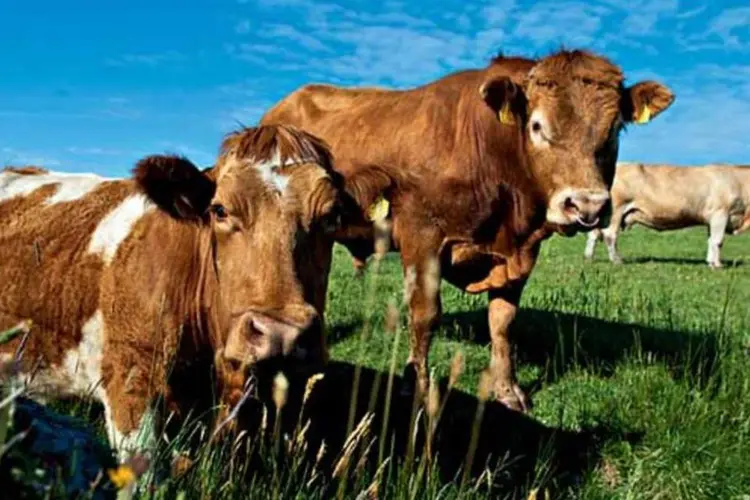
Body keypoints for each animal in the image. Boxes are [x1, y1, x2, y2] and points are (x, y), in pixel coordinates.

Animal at [262, 48, 680, 412]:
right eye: (537, 126)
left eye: (614, 130)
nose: (587, 206)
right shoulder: (421, 237)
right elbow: (425, 314)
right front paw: (417, 387)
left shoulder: (519, 254)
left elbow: (503, 321)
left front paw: (508, 389)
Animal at [588, 162, 750, 268]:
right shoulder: (720, 213)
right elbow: (718, 241)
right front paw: (717, 265)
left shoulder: (711, 219)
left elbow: (710, 241)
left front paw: (710, 261)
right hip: (616, 210)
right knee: (610, 235)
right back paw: (617, 260)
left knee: (593, 234)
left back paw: (588, 257)